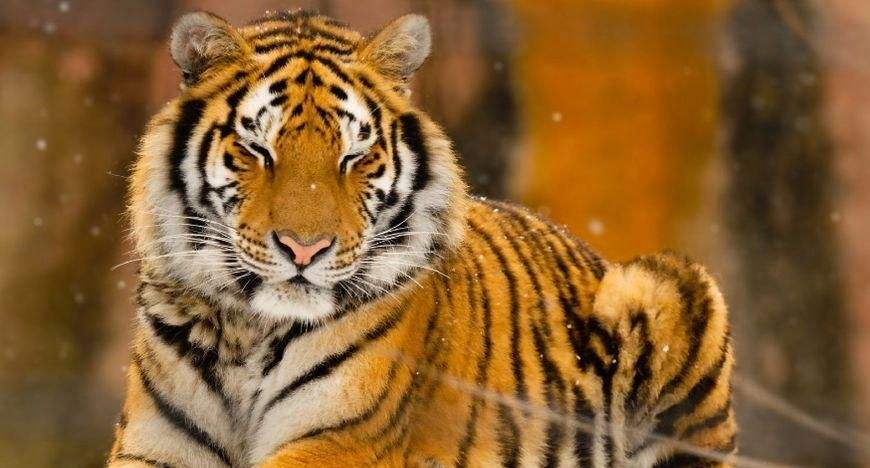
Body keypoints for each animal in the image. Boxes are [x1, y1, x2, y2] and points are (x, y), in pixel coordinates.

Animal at [109, 9, 737, 468]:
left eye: (354, 157)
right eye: (257, 150)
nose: (305, 250)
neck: (246, 332)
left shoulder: (342, 439)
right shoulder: (153, 444)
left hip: (669, 286)